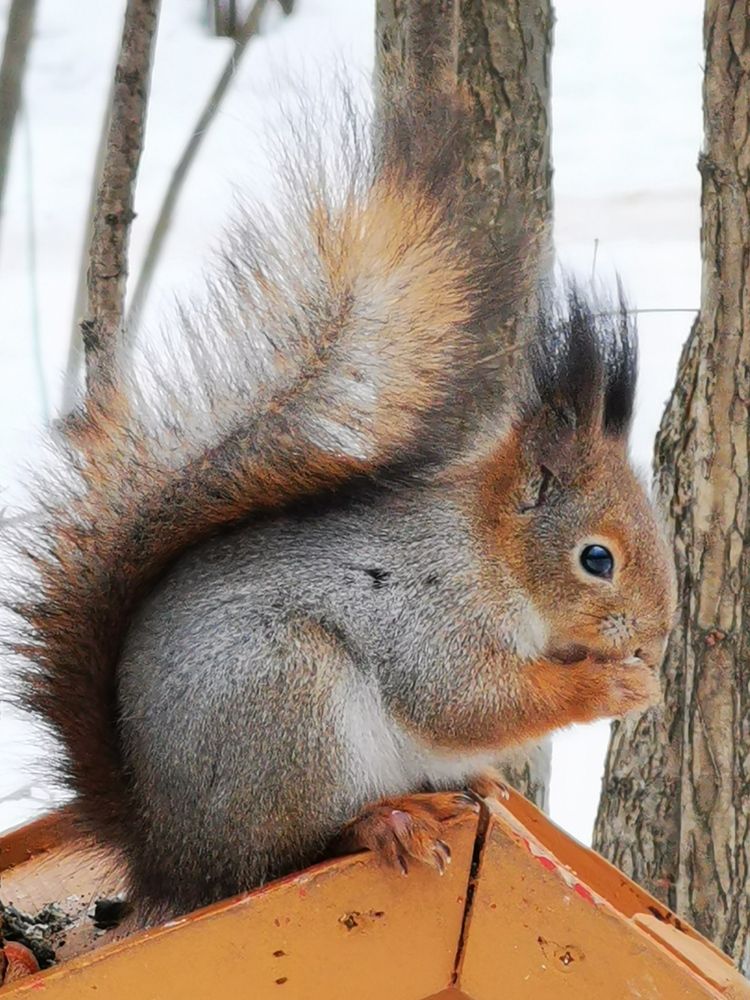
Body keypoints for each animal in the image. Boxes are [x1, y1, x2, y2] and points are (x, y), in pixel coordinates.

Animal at [5, 89, 676, 926]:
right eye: (596, 558)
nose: (657, 638)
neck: (492, 557)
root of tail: (165, 852)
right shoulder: (431, 616)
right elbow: (470, 701)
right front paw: (616, 687)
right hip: (292, 707)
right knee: (291, 851)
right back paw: (382, 820)